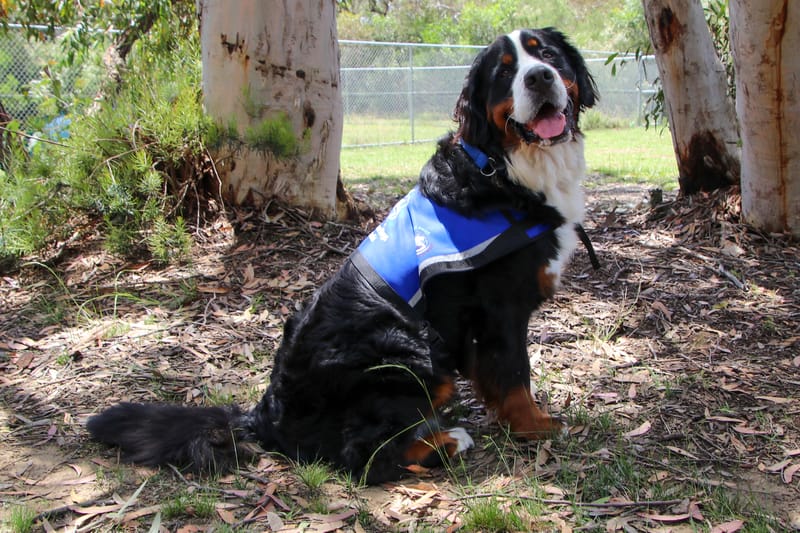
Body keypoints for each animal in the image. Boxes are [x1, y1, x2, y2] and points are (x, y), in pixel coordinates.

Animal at [89, 30, 600, 486]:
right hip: (410, 351)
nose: (539, 78)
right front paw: (536, 426)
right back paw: (447, 441)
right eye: (505, 72)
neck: (501, 167)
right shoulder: (499, 310)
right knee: (364, 457)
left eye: (546, 55)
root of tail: (266, 415)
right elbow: (514, 376)